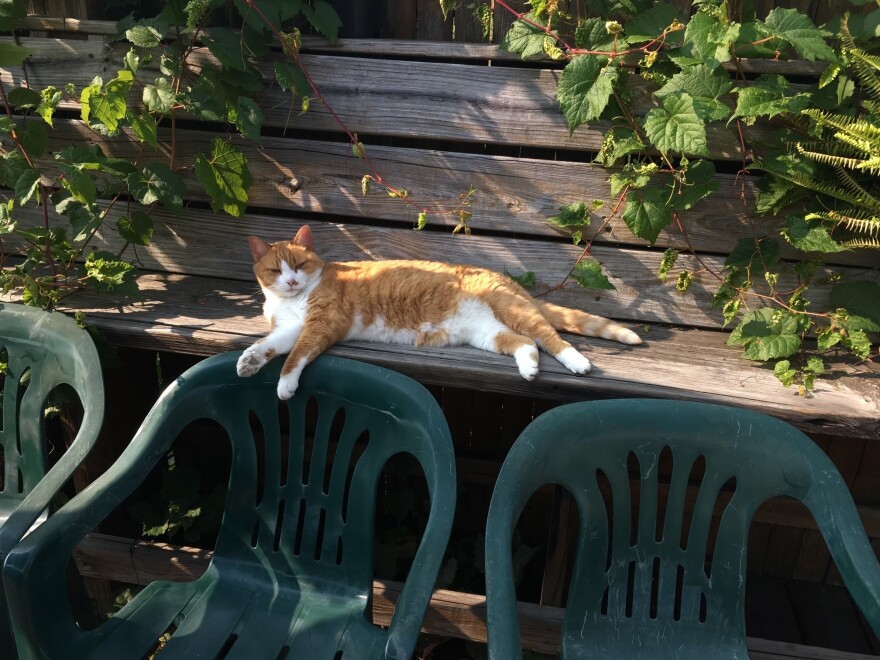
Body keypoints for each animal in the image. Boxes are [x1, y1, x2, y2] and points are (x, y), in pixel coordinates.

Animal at [237, 224, 644, 400]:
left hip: (511, 309)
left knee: (548, 336)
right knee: (525, 343)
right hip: (486, 333)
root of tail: (506, 279)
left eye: (299, 265)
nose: (291, 281)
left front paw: (285, 385)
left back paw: (577, 362)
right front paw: (250, 360)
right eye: (275, 270)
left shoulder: (322, 322)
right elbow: (271, 343)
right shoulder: (290, 326)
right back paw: (528, 368)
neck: (293, 301)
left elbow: (297, 354)